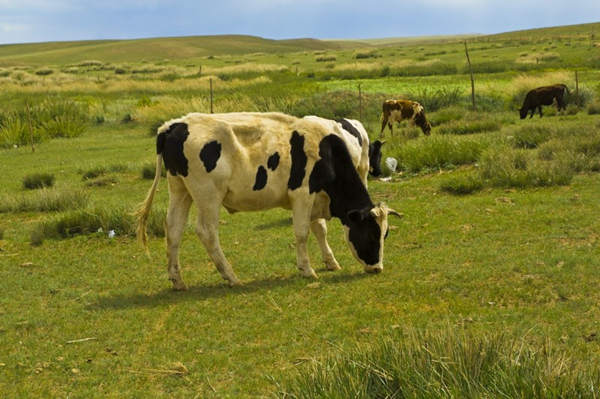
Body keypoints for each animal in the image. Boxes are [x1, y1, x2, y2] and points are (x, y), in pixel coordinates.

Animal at [134, 112, 400, 290]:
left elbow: (320, 229)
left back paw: (177, 280)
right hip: (208, 194)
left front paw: (330, 262)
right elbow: (302, 233)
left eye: (385, 234)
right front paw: (307, 269)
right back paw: (231, 276)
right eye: (371, 234)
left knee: (174, 230)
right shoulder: (302, 194)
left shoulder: (316, 198)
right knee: (206, 232)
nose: (377, 268)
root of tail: (174, 125)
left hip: (180, 189)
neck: (327, 152)